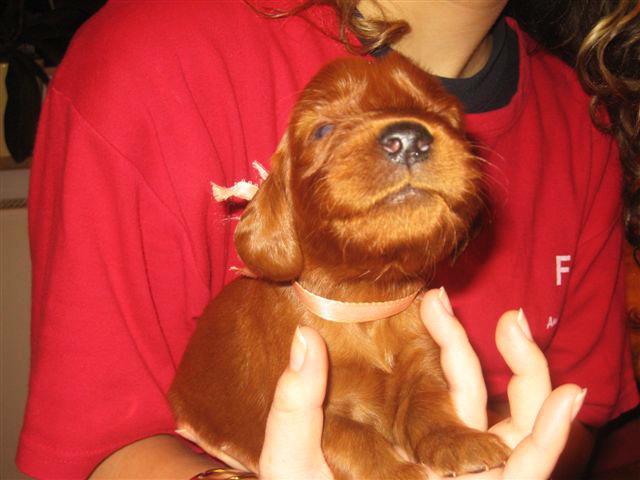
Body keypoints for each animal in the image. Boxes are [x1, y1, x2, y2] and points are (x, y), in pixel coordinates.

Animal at [169, 53, 510, 479]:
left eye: (442, 116)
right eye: (323, 129)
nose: (408, 139)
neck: (366, 303)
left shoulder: (422, 363)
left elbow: (429, 403)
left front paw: (459, 440)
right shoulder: (316, 410)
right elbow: (354, 438)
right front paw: (396, 473)